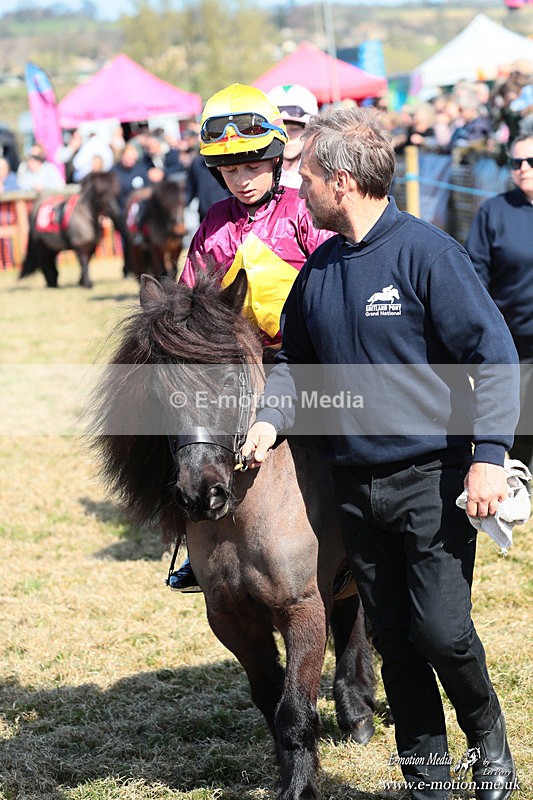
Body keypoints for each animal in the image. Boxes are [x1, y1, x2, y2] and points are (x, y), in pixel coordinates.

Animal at [90, 268, 376, 800]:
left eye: (228, 377)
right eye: (159, 390)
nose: (201, 493)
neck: (246, 519)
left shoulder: (303, 610)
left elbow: (294, 709)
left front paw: (299, 788)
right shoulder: (231, 620)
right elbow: (270, 700)